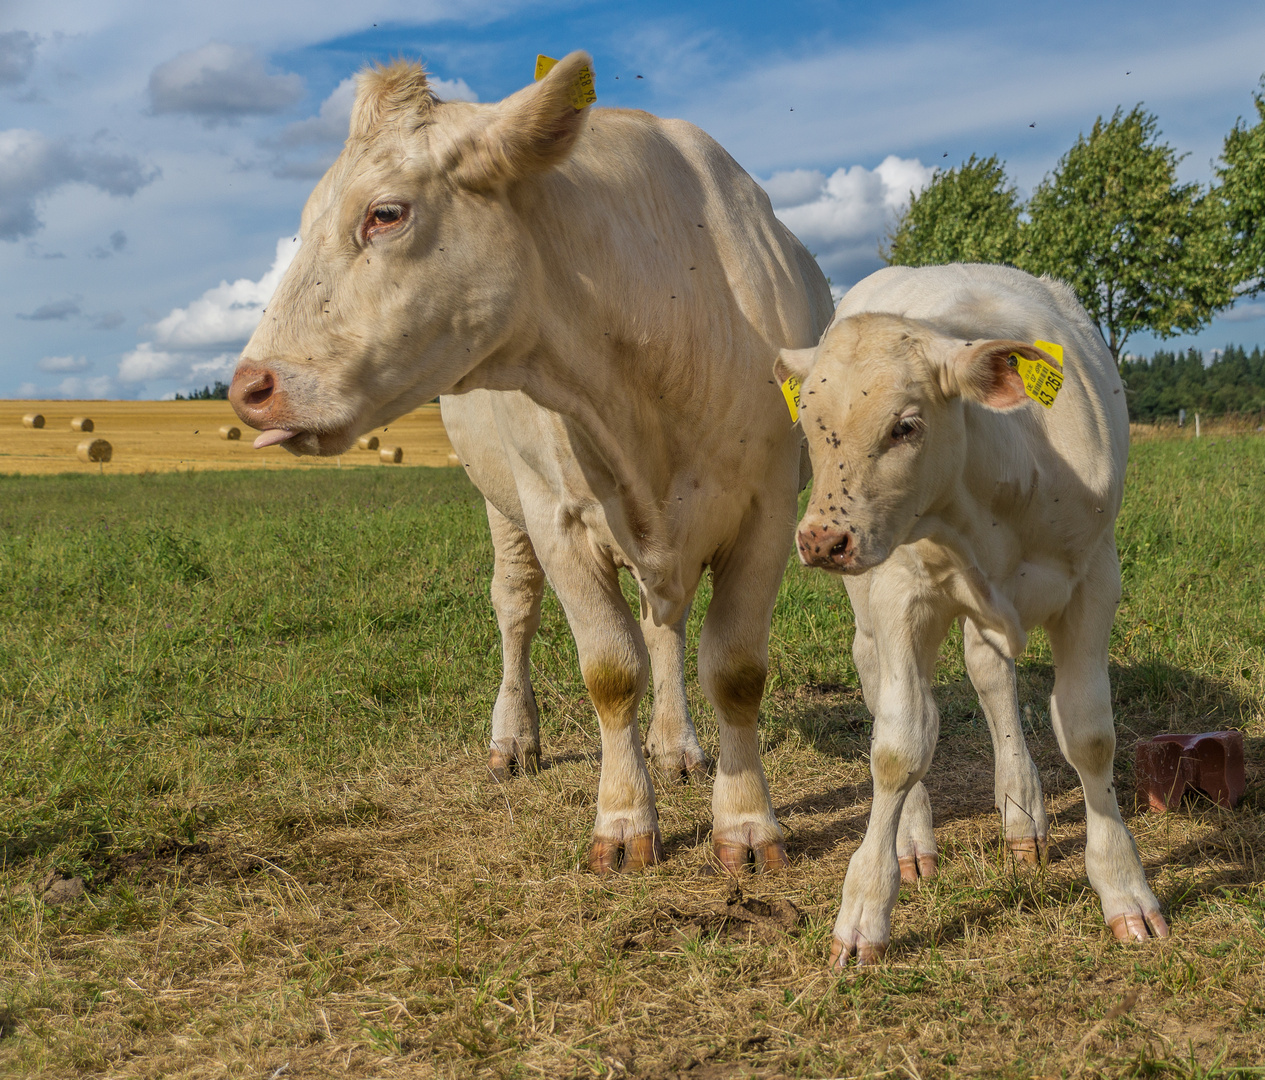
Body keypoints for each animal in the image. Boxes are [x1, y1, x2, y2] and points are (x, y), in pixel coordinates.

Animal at [231, 55, 834, 875]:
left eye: (385, 213)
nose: (248, 389)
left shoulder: (766, 509)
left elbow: (734, 670)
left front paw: (744, 822)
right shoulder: (557, 516)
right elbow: (610, 670)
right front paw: (623, 820)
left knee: (665, 624)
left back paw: (675, 743)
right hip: (501, 503)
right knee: (516, 607)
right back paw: (514, 736)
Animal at [774, 266, 1168, 966]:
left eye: (906, 426)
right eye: (812, 425)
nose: (822, 539)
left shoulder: (1095, 582)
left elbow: (1089, 735)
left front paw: (1124, 887)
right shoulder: (901, 596)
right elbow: (899, 747)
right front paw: (864, 911)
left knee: (991, 678)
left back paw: (1022, 815)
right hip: (871, 602)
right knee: (887, 690)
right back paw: (913, 837)